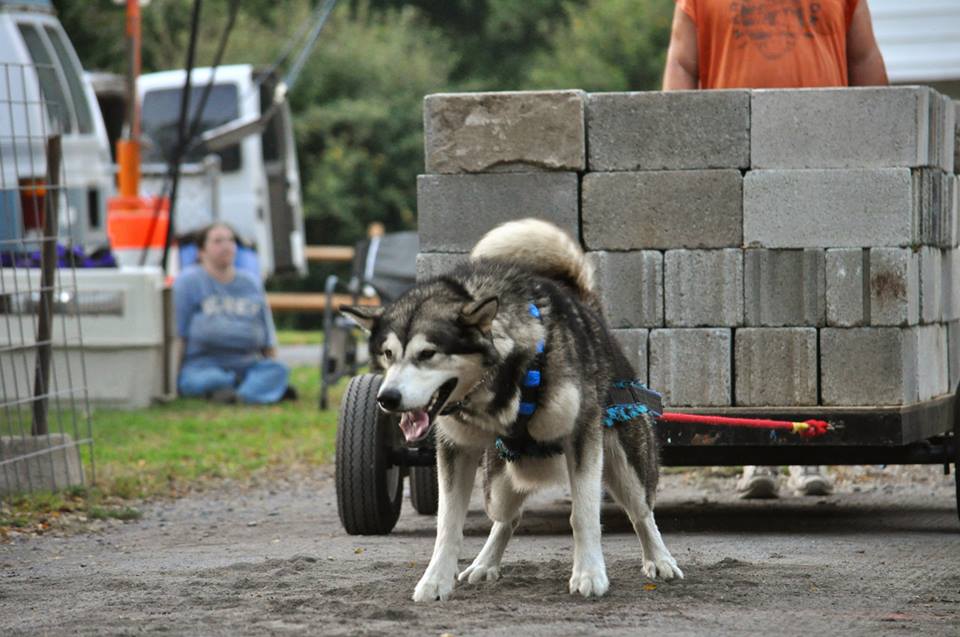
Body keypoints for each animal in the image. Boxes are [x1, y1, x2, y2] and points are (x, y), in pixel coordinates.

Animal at [342, 219, 680, 600]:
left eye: (427, 353)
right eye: (388, 354)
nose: (387, 398)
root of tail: (589, 310)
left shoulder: (582, 438)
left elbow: (584, 514)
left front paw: (589, 573)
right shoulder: (455, 449)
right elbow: (448, 523)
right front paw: (435, 580)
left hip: (628, 468)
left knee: (642, 513)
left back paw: (660, 560)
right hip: (499, 484)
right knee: (506, 518)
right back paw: (485, 563)